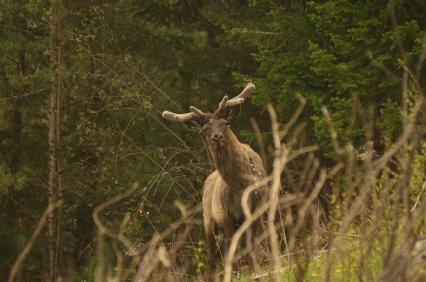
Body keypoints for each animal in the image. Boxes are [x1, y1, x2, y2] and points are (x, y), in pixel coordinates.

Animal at [161, 82, 268, 274]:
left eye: (225, 123)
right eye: (204, 129)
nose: (216, 136)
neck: (240, 186)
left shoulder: (257, 208)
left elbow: (250, 246)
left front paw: (256, 270)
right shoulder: (224, 215)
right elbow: (232, 250)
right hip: (208, 220)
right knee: (213, 254)